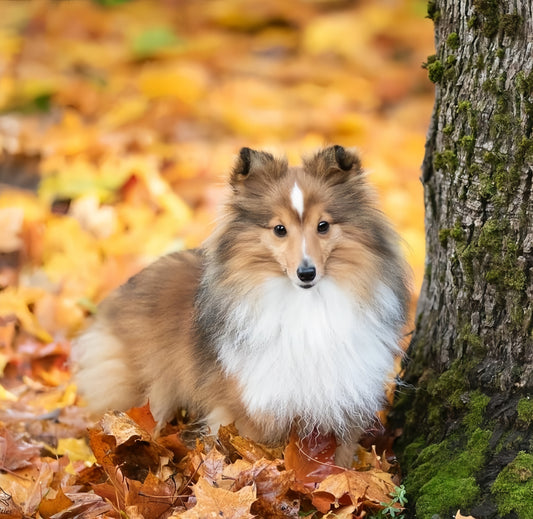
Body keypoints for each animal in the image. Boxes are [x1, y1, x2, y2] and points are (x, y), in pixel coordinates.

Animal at [71, 145, 412, 468]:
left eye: (323, 225)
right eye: (279, 229)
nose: (306, 273)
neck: (306, 305)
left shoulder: (345, 396)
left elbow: (341, 459)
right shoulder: (252, 405)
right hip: (146, 393)